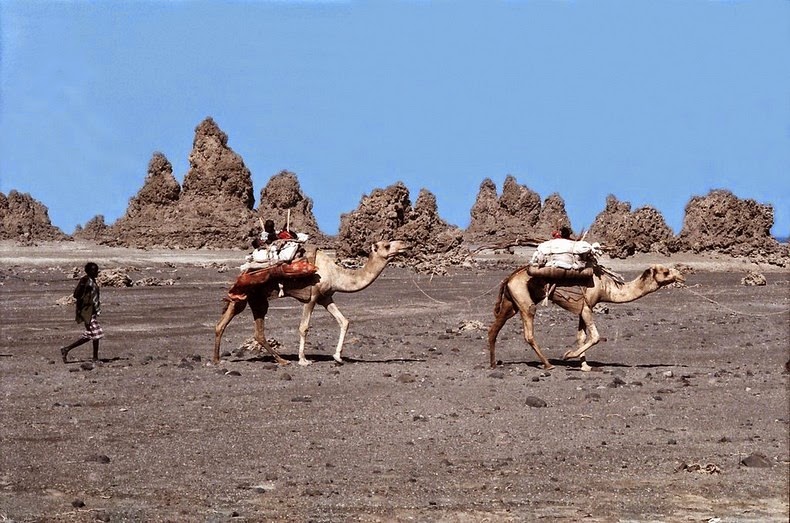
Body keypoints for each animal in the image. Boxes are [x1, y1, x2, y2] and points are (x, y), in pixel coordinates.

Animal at [213, 241, 412, 366]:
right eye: (387, 245)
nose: (405, 244)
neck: (335, 274)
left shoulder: (326, 297)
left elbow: (344, 321)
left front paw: (338, 357)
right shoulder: (312, 296)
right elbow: (304, 327)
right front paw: (303, 360)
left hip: (253, 298)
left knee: (232, 326)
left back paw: (218, 359)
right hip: (253, 295)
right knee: (251, 328)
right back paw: (283, 360)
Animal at [488, 264, 688, 370]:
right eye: (665, 272)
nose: (682, 276)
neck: (607, 287)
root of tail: (509, 278)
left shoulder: (583, 308)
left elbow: (581, 336)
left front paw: (584, 365)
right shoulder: (587, 307)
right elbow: (595, 336)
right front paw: (568, 355)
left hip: (510, 302)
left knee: (494, 330)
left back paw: (493, 363)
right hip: (524, 301)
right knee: (528, 332)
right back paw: (548, 364)